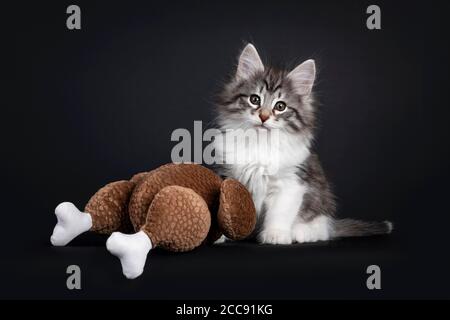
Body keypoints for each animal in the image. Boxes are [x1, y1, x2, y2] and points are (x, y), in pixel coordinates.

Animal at [213, 43, 392, 244]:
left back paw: (301, 232)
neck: (260, 143)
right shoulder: (227, 174)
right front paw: (219, 234)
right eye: (254, 99)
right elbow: (225, 205)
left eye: (280, 106)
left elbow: (280, 212)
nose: (264, 116)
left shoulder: (292, 181)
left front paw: (276, 234)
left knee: (321, 230)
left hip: (319, 201)